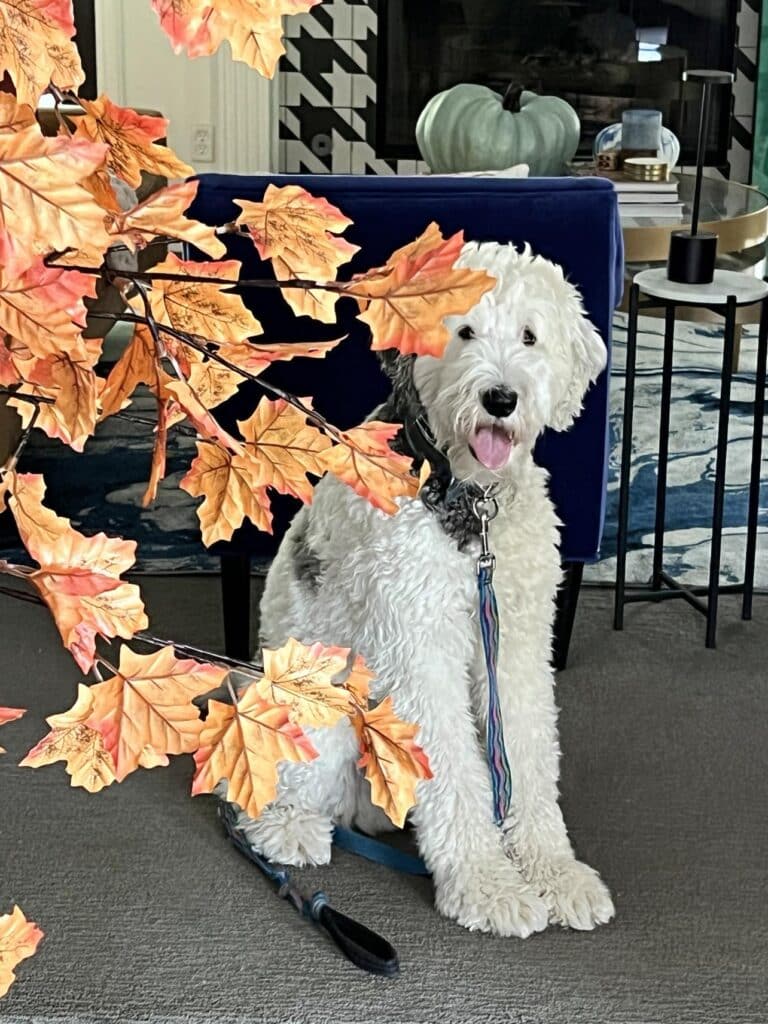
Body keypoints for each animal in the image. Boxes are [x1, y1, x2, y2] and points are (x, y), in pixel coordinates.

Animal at [240, 239, 614, 937]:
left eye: (530, 336)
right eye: (463, 331)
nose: (500, 398)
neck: (470, 502)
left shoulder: (516, 643)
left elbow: (528, 754)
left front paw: (554, 873)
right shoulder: (418, 645)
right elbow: (455, 770)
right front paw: (488, 885)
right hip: (314, 704)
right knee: (265, 789)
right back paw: (289, 828)